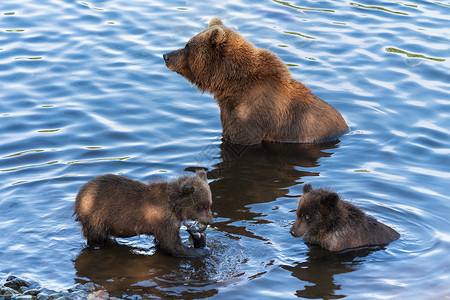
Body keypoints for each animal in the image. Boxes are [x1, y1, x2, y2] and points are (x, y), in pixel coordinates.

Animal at [73, 171, 213, 258]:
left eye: (209, 204)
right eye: (202, 206)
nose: (210, 220)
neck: (175, 207)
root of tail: (79, 194)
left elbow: (162, 242)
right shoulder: (164, 219)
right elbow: (172, 245)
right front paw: (202, 250)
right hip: (96, 214)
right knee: (95, 236)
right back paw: (96, 246)